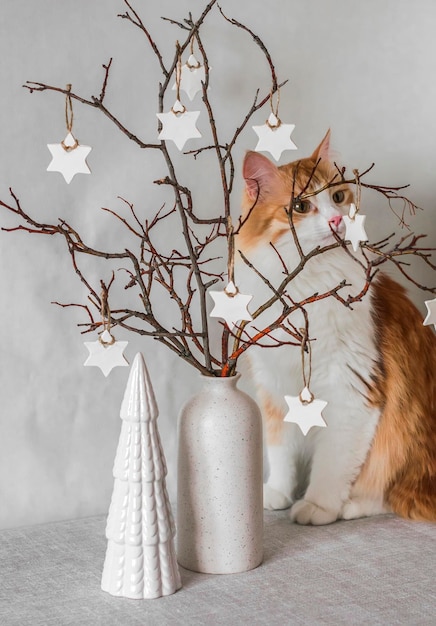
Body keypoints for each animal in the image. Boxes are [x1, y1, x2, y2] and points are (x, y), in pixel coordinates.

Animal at [238, 130, 436, 520]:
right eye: (300, 206)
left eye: (338, 197)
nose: (336, 221)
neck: (305, 290)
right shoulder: (276, 389)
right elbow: (281, 451)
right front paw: (278, 492)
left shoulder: (351, 388)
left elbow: (333, 462)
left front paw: (317, 504)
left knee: (389, 494)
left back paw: (350, 506)